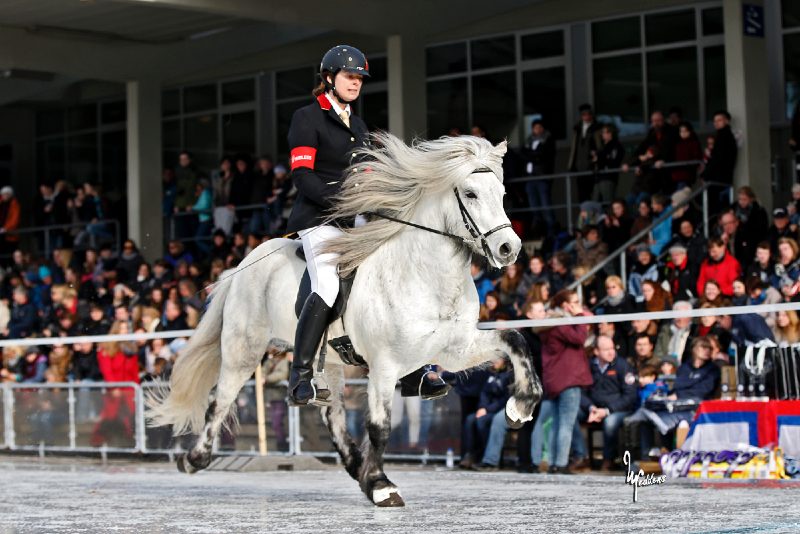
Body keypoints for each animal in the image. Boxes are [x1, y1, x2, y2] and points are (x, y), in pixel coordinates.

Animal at [147, 133, 540, 506]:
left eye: (502, 193)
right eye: (471, 194)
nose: (509, 249)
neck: (427, 276)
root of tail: (243, 264)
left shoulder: (454, 349)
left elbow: (516, 340)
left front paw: (520, 407)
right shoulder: (384, 365)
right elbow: (380, 426)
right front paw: (381, 486)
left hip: (332, 363)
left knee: (332, 414)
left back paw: (356, 464)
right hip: (243, 349)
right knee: (221, 400)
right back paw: (194, 458)